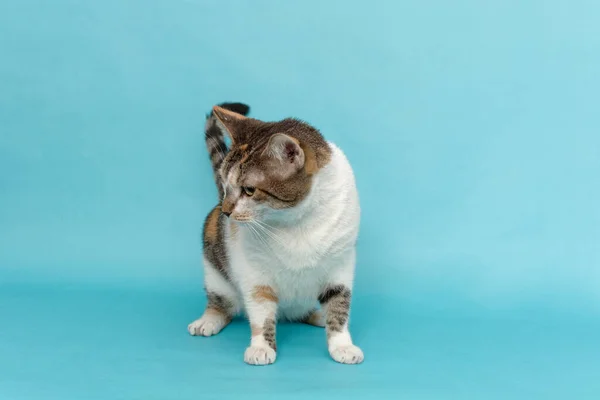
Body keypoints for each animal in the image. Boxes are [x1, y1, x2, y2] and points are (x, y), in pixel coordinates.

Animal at [189, 101, 366, 364]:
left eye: (249, 190)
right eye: (225, 184)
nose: (227, 211)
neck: (297, 222)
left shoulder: (341, 263)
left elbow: (338, 302)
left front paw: (342, 344)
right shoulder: (254, 270)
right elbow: (261, 308)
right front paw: (262, 347)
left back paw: (318, 316)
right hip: (215, 270)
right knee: (222, 302)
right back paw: (208, 320)